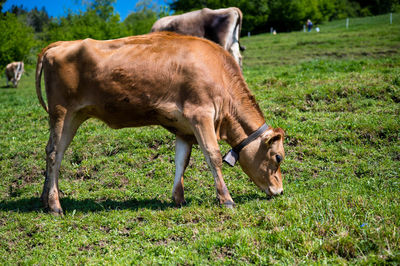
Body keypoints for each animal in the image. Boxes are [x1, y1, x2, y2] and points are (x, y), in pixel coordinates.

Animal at [35, 32, 284, 215]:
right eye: (278, 157)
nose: (280, 191)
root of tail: (60, 44)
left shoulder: (183, 128)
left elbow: (182, 161)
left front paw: (178, 198)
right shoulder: (201, 114)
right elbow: (212, 155)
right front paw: (227, 199)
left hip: (73, 116)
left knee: (51, 151)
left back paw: (45, 201)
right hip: (63, 113)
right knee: (55, 154)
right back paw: (55, 206)